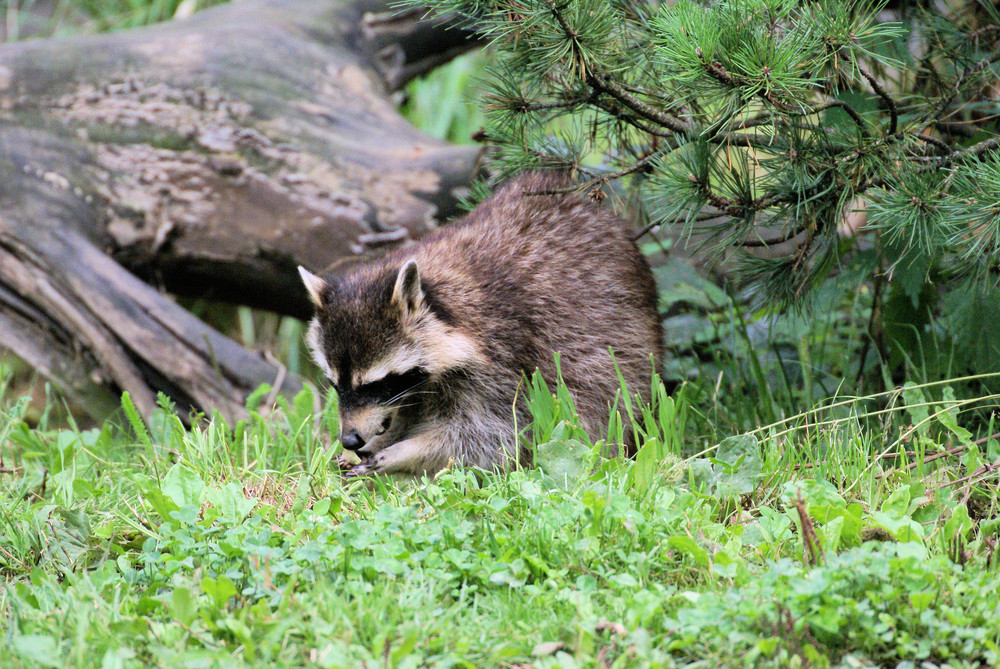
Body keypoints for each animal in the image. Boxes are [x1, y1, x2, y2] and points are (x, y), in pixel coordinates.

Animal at [304, 170, 664, 478]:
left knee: (599, 395)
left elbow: (493, 436)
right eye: (335, 384)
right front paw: (383, 439)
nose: (350, 439)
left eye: (375, 384)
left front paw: (403, 451)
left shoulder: (504, 358)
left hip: (618, 340)